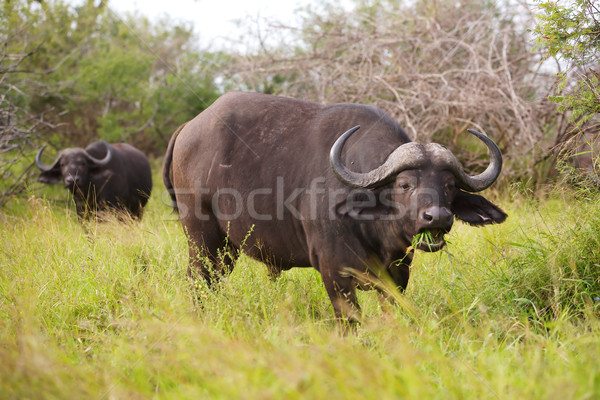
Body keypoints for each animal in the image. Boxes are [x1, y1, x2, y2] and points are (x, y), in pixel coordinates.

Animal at [163, 91, 506, 322]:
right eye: (405, 184)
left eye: (449, 186)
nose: (437, 217)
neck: (373, 231)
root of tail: (188, 128)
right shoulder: (334, 272)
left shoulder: (398, 275)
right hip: (203, 241)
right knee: (198, 282)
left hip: (226, 248)